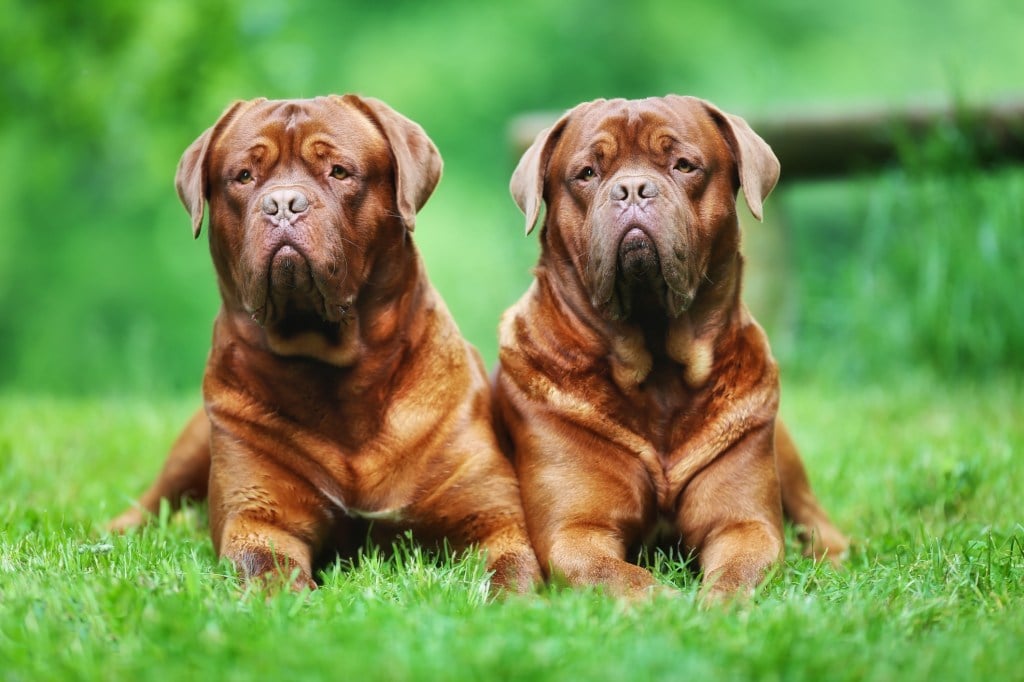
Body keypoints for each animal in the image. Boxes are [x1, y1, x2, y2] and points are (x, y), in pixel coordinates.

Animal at [110, 94, 544, 589]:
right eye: (244, 176)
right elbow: (271, 575)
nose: (283, 203)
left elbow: (511, 573)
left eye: (338, 171)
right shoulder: (260, 519)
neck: (337, 374)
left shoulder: (493, 516)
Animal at [491, 94, 843, 593]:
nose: (633, 188)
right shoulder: (575, 531)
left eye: (684, 165)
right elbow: (625, 577)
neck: (656, 362)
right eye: (587, 173)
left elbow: (736, 574)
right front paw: (666, 603)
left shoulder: (744, 524)